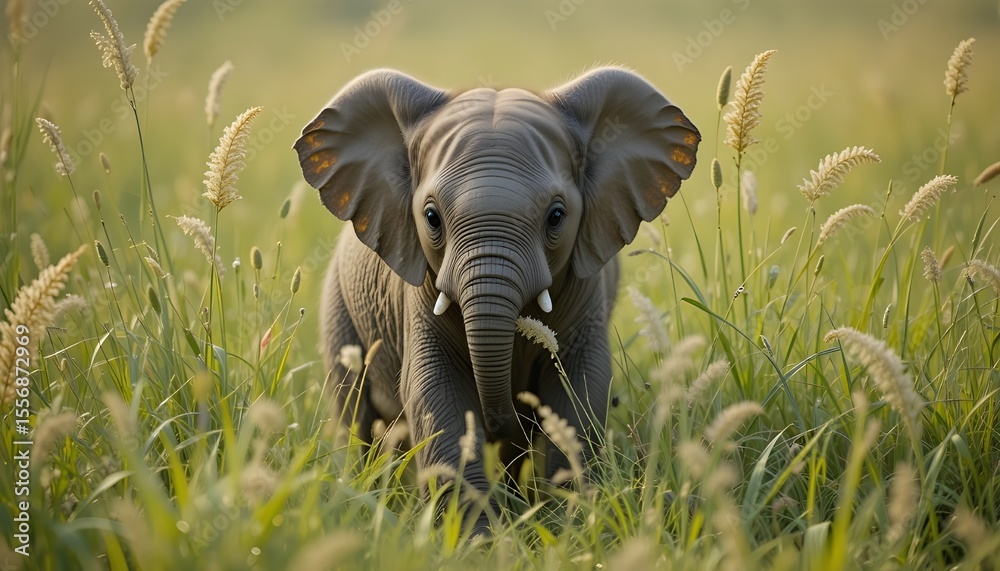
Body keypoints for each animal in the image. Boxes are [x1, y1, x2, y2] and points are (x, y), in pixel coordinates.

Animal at [294, 67, 700, 527]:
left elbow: (580, 387)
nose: (503, 420)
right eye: (431, 217)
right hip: (339, 310)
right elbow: (435, 389)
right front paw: (473, 535)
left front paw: (568, 525)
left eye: (556, 216)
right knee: (354, 416)